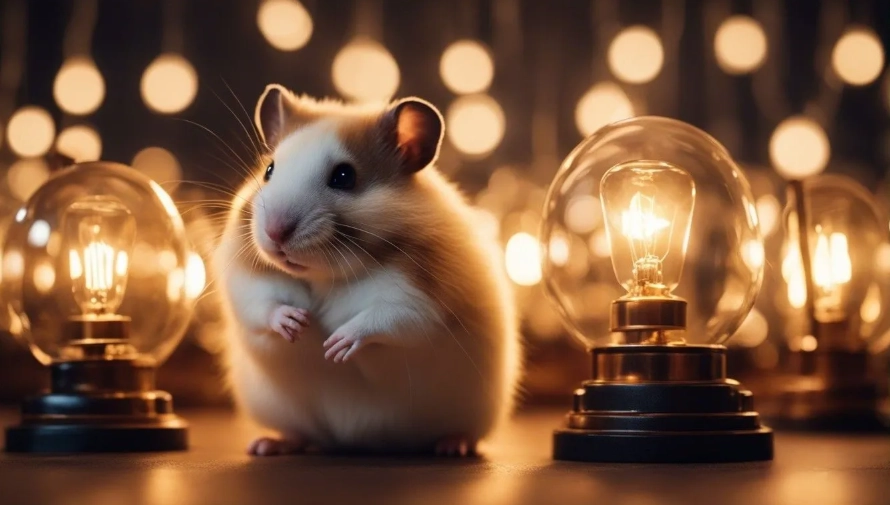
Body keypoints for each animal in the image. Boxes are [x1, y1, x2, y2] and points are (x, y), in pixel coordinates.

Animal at [211, 84, 522, 457]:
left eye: (344, 177)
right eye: (269, 170)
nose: (275, 233)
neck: (325, 275)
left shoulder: (420, 300)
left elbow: (386, 320)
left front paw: (336, 345)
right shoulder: (245, 283)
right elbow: (262, 306)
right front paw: (296, 323)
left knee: (464, 432)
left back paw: (453, 446)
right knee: (300, 435)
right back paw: (266, 445)